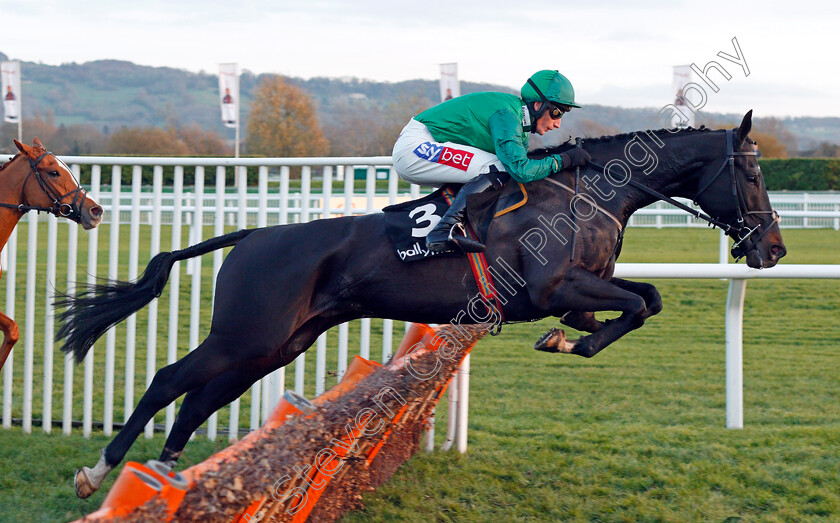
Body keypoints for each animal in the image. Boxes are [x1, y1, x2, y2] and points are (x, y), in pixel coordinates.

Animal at [62, 111, 784, 500]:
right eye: (751, 172)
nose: (773, 248)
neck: (591, 194)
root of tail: (251, 236)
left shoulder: (578, 294)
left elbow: (644, 300)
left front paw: (566, 341)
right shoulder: (555, 288)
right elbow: (642, 302)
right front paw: (570, 342)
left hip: (279, 342)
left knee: (199, 399)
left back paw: (164, 472)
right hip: (246, 333)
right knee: (169, 381)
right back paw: (99, 471)